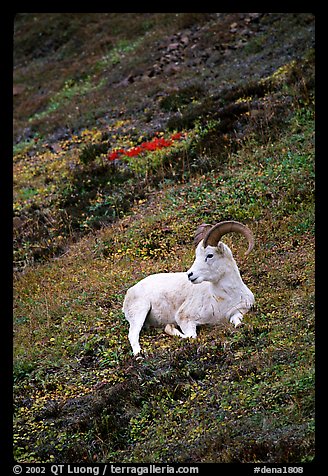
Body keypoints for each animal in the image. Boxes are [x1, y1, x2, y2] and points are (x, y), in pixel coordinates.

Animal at [122, 221, 254, 356]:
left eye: (210, 255)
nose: (190, 275)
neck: (222, 299)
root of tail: (130, 291)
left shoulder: (239, 311)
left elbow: (237, 322)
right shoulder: (184, 318)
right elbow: (191, 336)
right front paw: (170, 328)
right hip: (140, 311)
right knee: (133, 334)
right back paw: (139, 354)